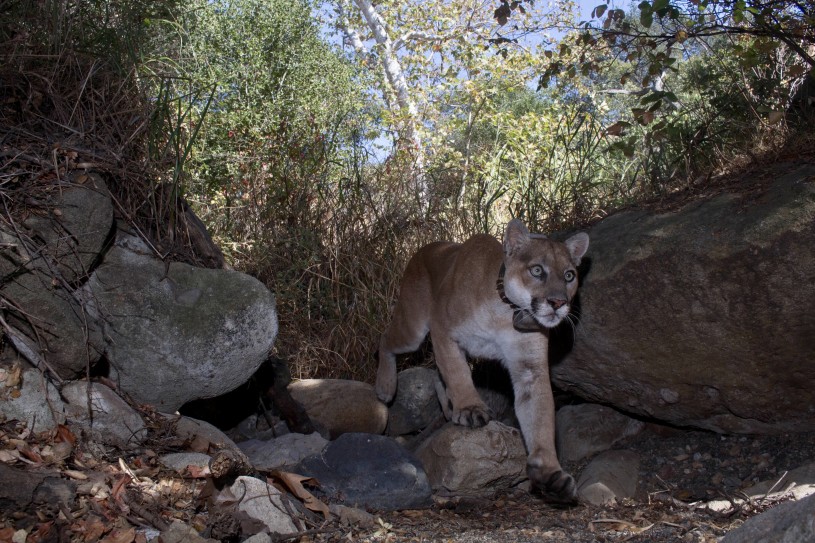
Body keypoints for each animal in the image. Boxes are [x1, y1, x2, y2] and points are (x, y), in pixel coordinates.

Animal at [376, 218, 588, 506]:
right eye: (537, 270)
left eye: (569, 275)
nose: (558, 302)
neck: (505, 310)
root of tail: (428, 247)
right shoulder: (443, 330)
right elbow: (458, 373)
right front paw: (470, 408)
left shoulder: (529, 368)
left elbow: (540, 415)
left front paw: (550, 472)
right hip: (413, 328)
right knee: (386, 339)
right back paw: (385, 387)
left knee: (437, 373)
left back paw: (448, 409)